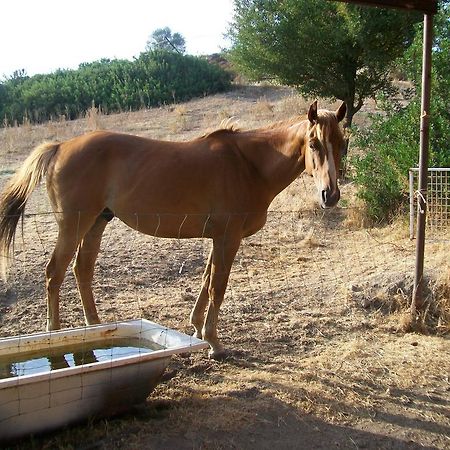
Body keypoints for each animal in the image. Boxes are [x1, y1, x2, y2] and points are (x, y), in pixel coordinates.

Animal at [0, 102, 344, 358]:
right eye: (314, 143)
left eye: (342, 143)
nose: (330, 195)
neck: (247, 165)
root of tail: (60, 147)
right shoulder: (228, 238)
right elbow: (217, 287)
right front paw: (214, 343)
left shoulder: (218, 238)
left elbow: (206, 281)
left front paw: (197, 329)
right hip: (73, 226)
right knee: (54, 273)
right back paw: (54, 335)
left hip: (96, 223)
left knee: (81, 270)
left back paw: (94, 329)